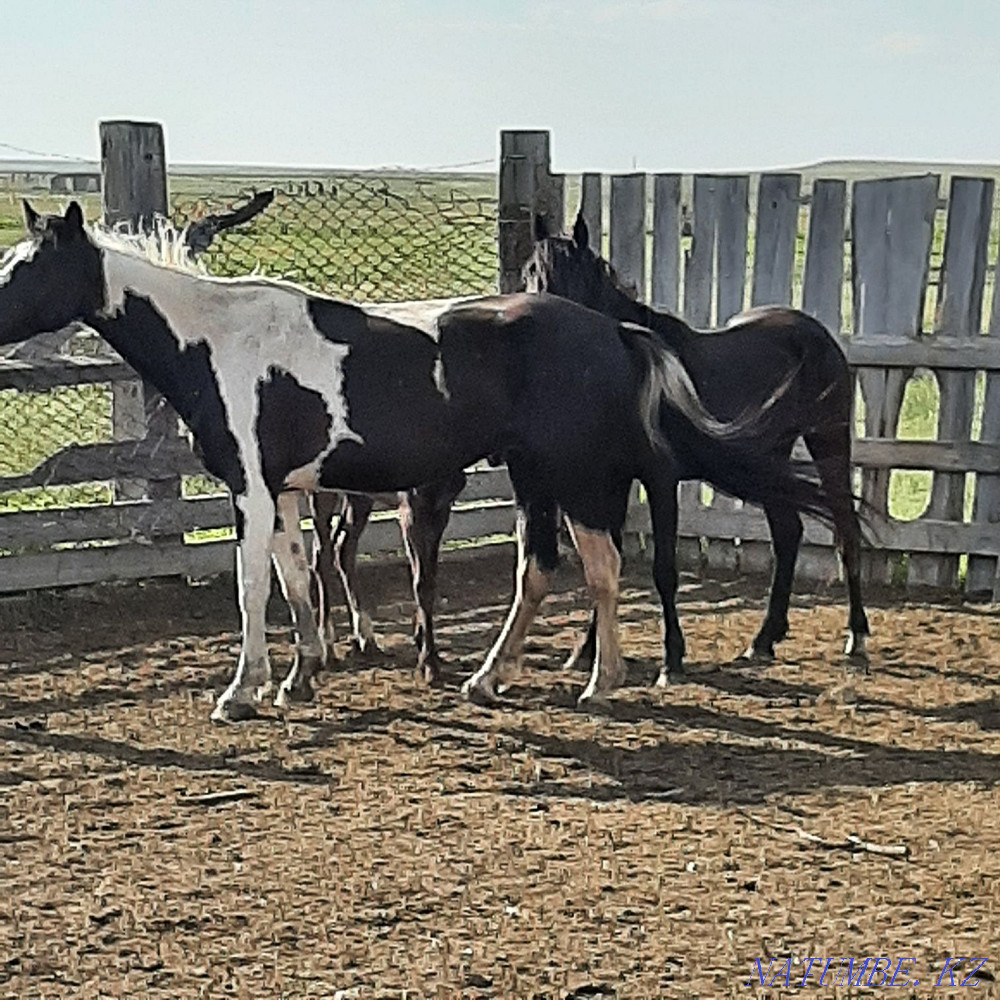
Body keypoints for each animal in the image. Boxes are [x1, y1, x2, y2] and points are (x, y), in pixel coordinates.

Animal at [1, 201, 833, 723]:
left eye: (26, 269)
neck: (220, 340)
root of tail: (614, 330)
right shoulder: (287, 492)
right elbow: (297, 581)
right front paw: (300, 678)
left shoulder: (251, 491)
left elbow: (250, 590)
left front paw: (240, 692)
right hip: (535, 477)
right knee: (539, 569)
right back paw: (487, 679)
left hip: (575, 478)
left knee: (601, 569)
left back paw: (600, 684)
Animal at [523, 212, 869, 681]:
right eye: (529, 272)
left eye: (574, 276)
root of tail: (817, 334)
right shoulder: (616, 479)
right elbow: (608, 562)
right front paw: (587, 651)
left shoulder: (661, 479)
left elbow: (663, 569)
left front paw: (671, 659)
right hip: (770, 458)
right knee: (788, 533)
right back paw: (764, 639)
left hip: (828, 441)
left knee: (845, 530)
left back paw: (856, 637)